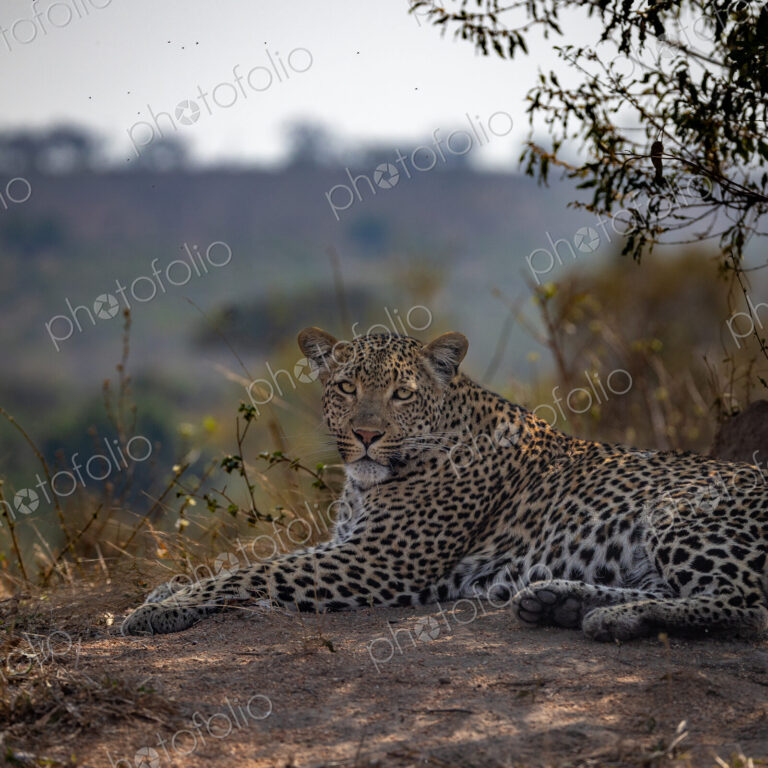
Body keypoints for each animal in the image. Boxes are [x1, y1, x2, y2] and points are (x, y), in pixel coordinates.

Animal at [121, 327, 768, 641]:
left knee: (746, 604)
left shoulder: (377, 560)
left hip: (678, 511)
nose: (366, 435)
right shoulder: (348, 545)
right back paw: (559, 602)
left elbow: (256, 571)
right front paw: (165, 590)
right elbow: (246, 562)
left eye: (402, 394)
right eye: (347, 387)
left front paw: (163, 608)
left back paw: (607, 620)